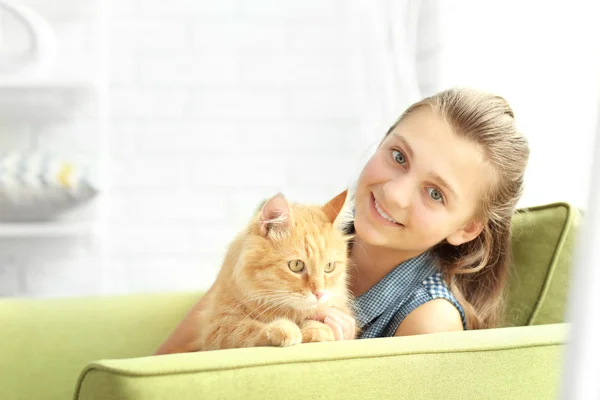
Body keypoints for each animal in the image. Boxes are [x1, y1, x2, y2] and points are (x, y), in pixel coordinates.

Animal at [195, 191, 354, 350]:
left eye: (329, 267)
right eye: (296, 265)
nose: (319, 293)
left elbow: (317, 320)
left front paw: (317, 331)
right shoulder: (218, 327)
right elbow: (247, 328)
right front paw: (282, 328)